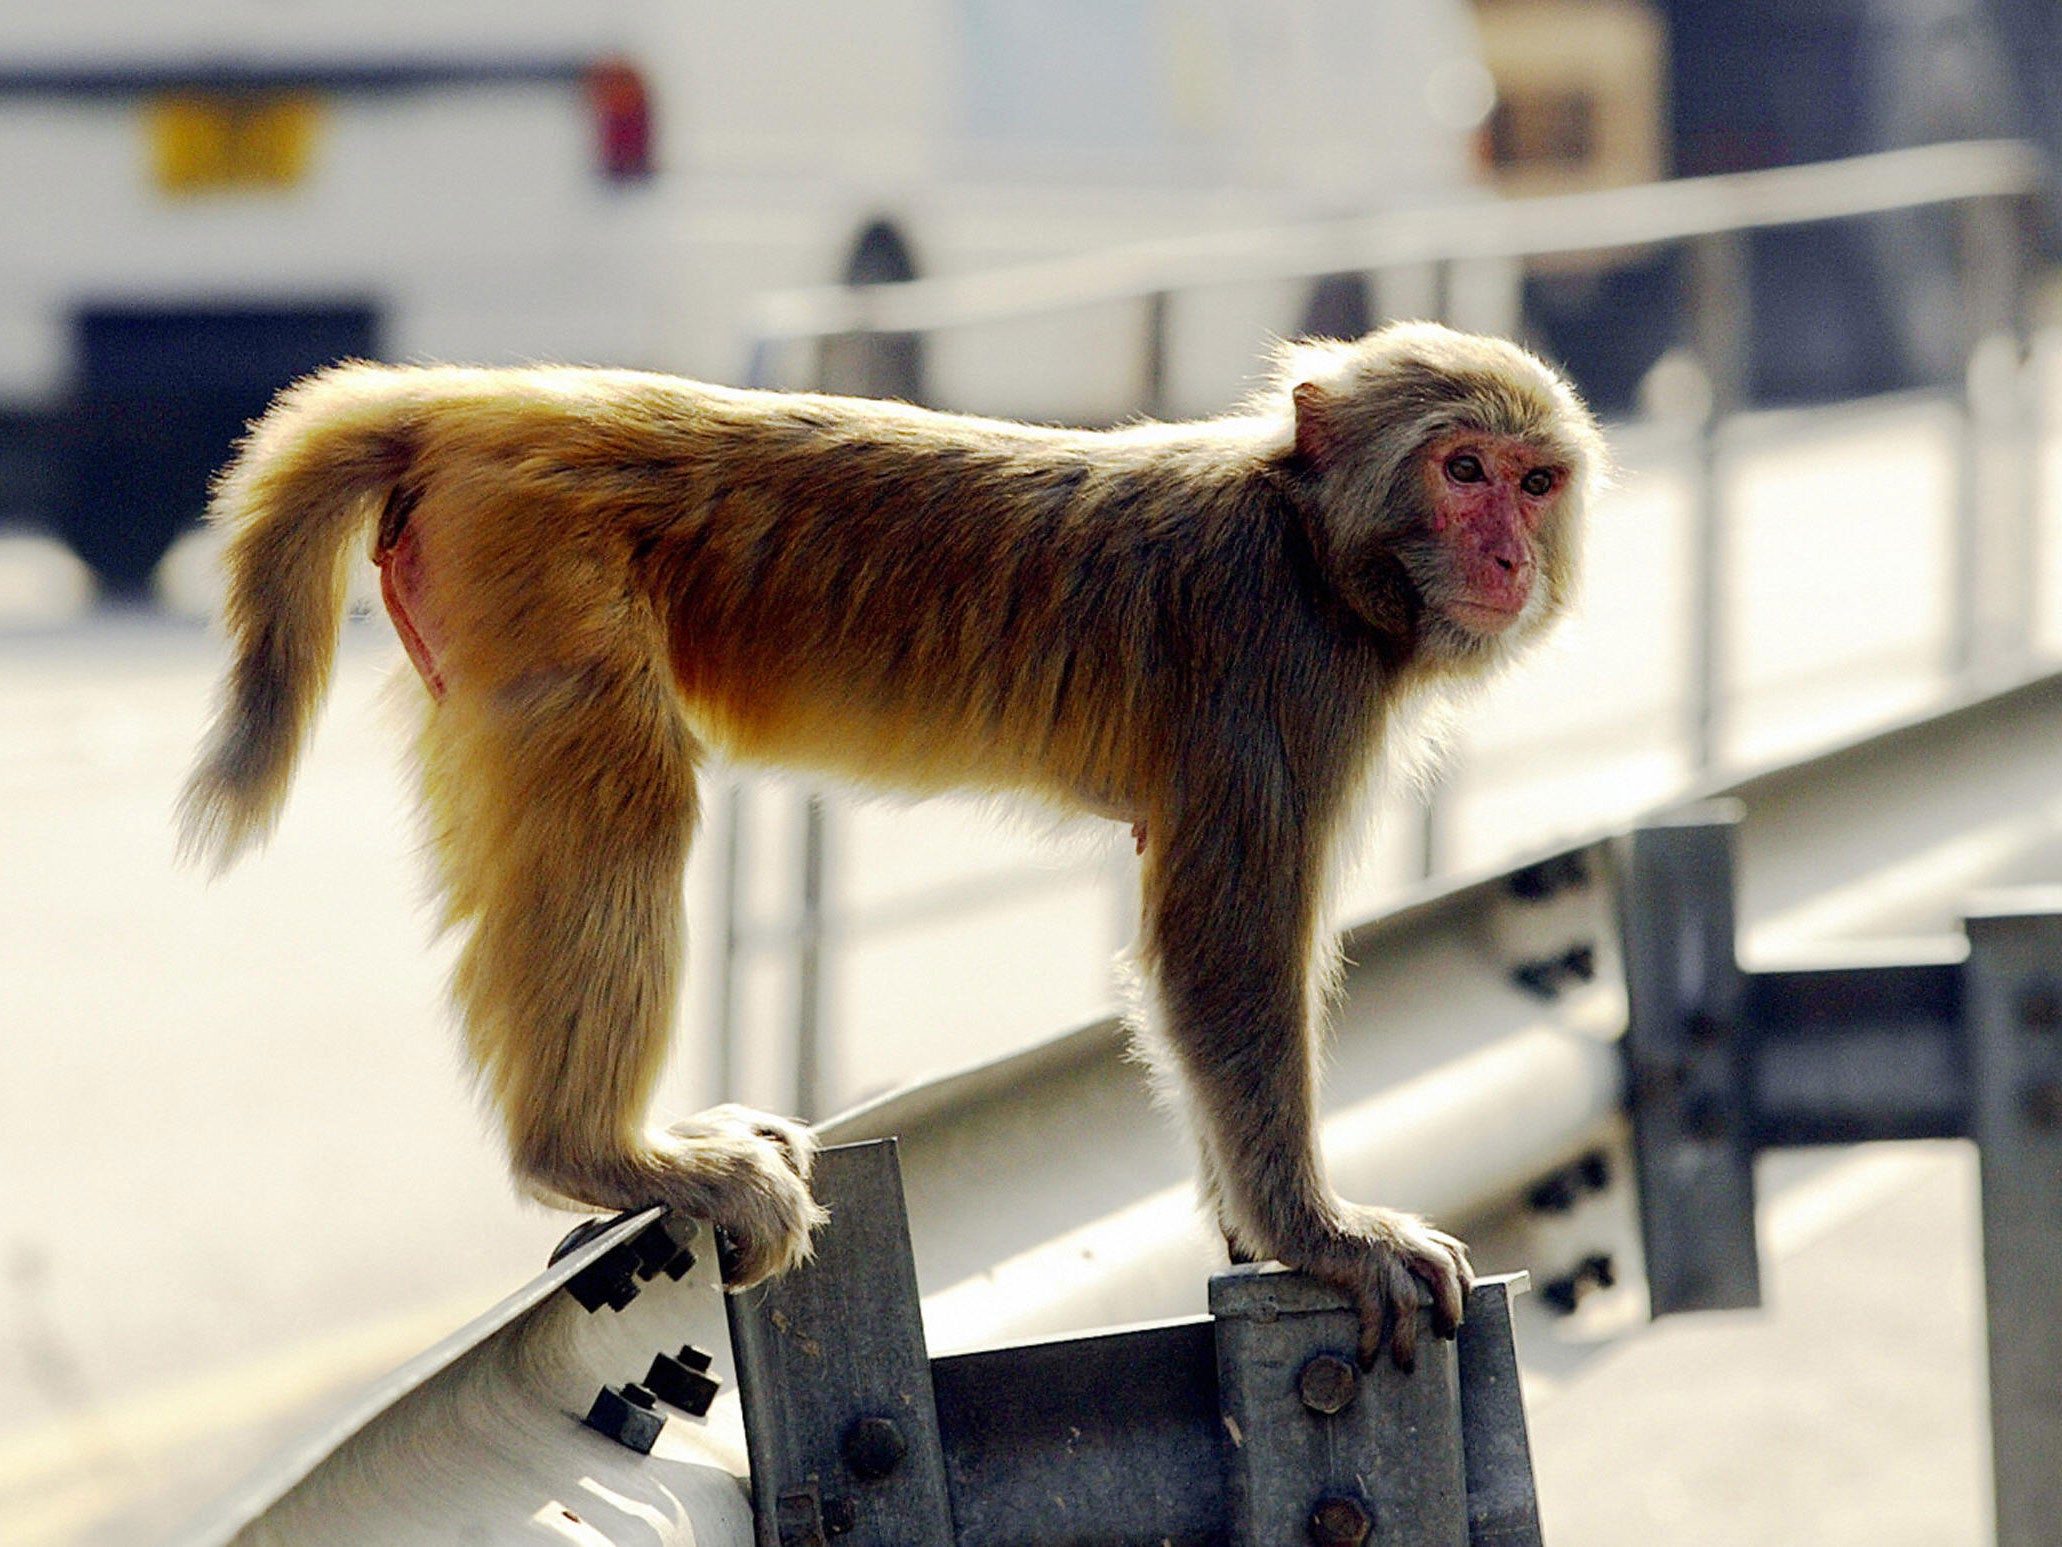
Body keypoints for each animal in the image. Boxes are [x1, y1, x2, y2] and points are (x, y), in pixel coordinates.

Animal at [177, 323, 1600, 1369]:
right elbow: (1220, 954)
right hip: (543, 562)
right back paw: (594, 1151)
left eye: (1536, 481)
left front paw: (1248, 1231)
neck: (1314, 546)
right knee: (625, 794)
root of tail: (486, 401)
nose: (1510, 554)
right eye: (1462, 470)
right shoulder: (1280, 668)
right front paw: (1318, 1233)